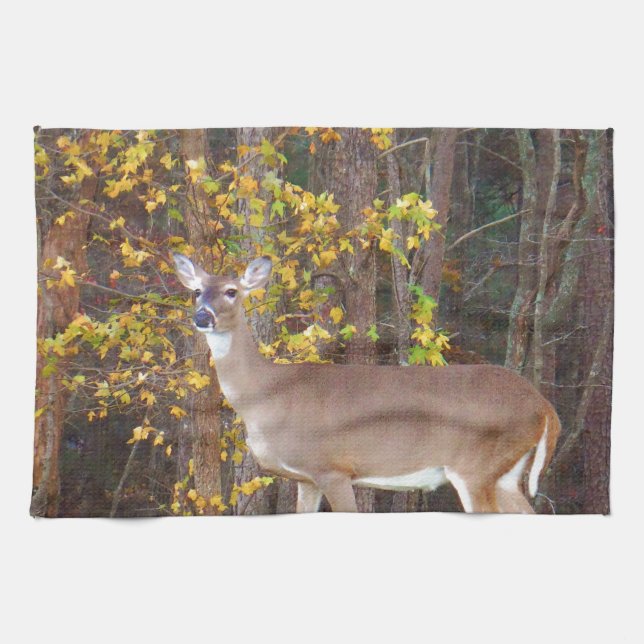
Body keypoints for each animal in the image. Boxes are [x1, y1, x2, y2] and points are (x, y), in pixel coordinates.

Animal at [173, 253, 561, 513]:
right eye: (196, 291)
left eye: (231, 291)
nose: (202, 316)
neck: (267, 394)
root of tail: (544, 407)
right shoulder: (305, 478)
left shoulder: (333, 468)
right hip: (505, 473)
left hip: (476, 466)